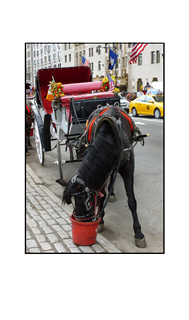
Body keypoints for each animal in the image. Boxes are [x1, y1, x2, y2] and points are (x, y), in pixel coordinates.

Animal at [56, 105, 148, 248]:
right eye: (73, 202)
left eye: (84, 202)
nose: (84, 222)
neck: (111, 137)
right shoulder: (101, 169)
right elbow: (101, 196)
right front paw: (100, 221)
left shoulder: (127, 169)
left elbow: (132, 201)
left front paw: (138, 233)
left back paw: (112, 193)